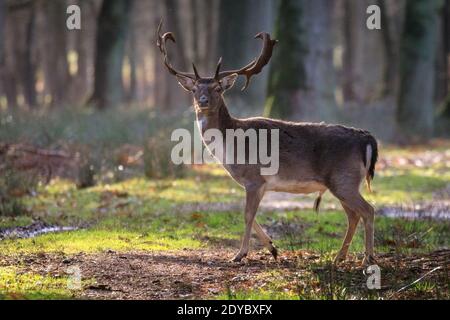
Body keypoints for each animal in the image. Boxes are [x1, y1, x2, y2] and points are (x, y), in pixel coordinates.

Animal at [156, 20, 378, 264]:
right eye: (195, 89)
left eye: (217, 88)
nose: (203, 101)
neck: (229, 146)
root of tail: (366, 138)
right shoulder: (260, 184)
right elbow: (252, 217)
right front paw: (273, 249)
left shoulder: (254, 178)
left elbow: (247, 215)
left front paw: (239, 254)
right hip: (343, 182)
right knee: (353, 215)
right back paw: (339, 257)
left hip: (343, 178)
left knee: (368, 210)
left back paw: (367, 258)